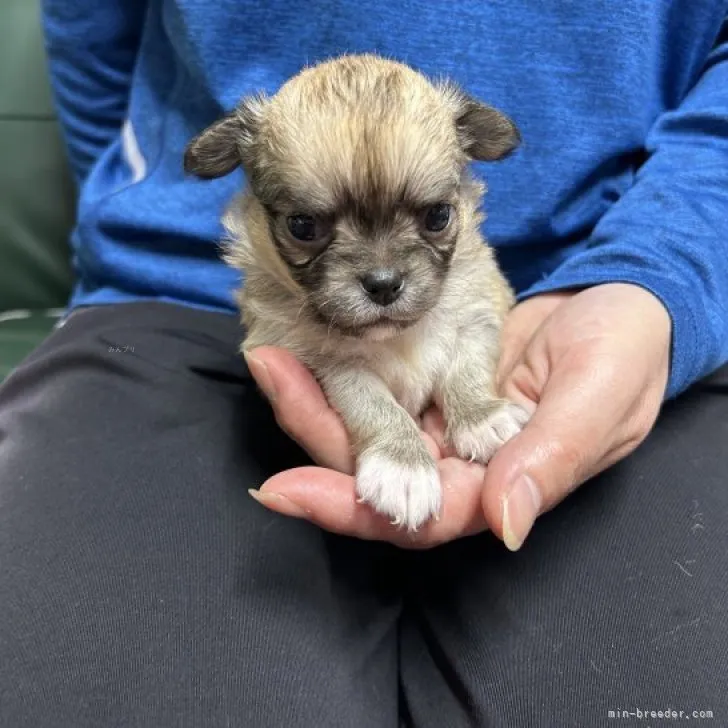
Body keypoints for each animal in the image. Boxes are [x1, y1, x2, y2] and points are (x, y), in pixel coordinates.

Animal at [185, 51, 528, 528]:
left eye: (438, 216)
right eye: (303, 226)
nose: (383, 284)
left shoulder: (478, 315)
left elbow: (467, 369)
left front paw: (482, 417)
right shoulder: (330, 363)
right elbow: (374, 406)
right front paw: (403, 464)